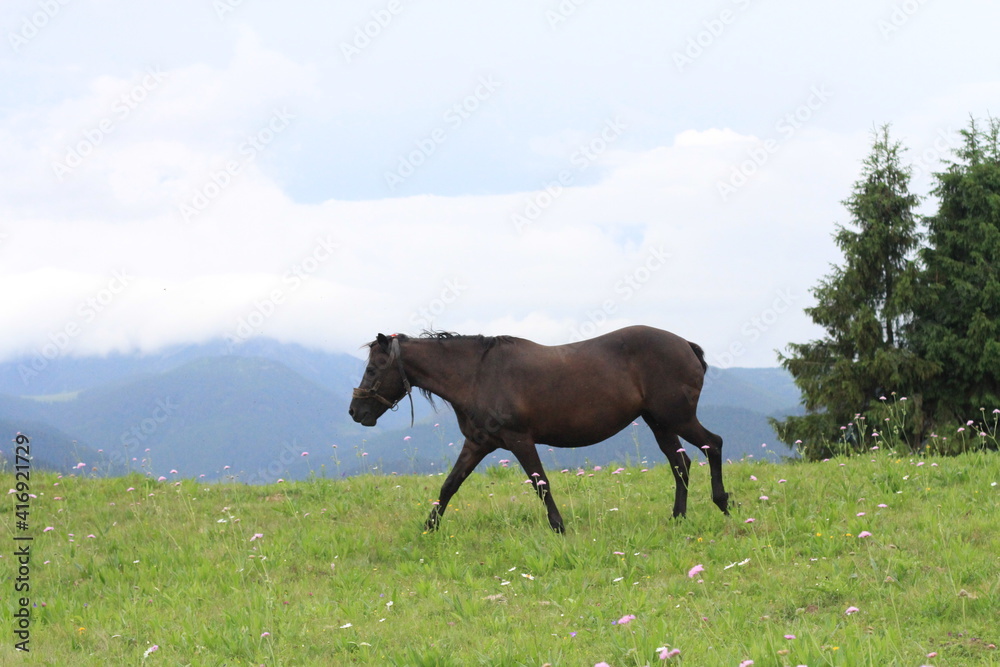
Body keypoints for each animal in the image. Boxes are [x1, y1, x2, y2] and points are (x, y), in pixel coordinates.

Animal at [348, 326, 732, 536]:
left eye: (373, 368)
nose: (355, 412)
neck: (477, 374)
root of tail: (686, 344)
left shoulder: (520, 440)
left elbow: (541, 484)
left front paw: (559, 527)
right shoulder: (477, 444)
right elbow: (449, 486)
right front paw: (428, 528)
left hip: (677, 418)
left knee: (712, 445)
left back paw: (722, 503)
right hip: (659, 422)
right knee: (681, 464)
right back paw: (678, 517)